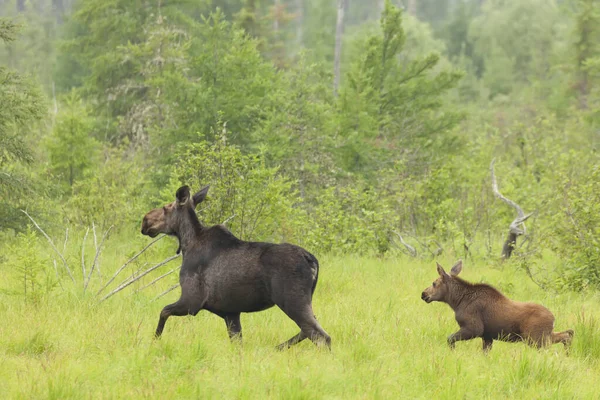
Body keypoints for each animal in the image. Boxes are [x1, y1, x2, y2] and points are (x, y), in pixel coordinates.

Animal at [140, 185, 330, 350]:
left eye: (166, 208)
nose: (145, 221)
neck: (187, 243)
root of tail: (311, 260)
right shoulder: (231, 312)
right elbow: (237, 343)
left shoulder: (192, 301)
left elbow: (163, 312)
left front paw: (154, 340)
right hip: (304, 301)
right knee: (309, 330)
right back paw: (278, 347)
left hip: (292, 300)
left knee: (320, 335)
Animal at [420, 260, 576, 352]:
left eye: (434, 283)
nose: (423, 294)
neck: (456, 301)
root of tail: (553, 318)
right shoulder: (487, 336)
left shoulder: (474, 328)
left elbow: (450, 338)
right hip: (544, 336)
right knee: (567, 334)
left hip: (537, 339)